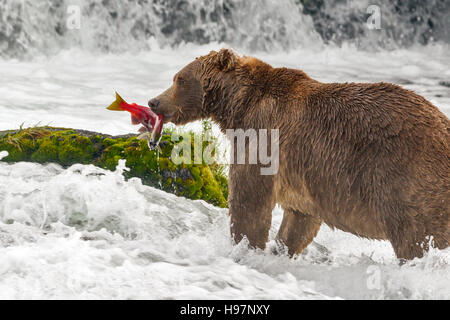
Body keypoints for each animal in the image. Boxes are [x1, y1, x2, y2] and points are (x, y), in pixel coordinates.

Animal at [149, 48, 450, 262]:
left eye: (178, 78)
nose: (154, 101)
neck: (238, 106)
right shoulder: (306, 180)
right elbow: (299, 221)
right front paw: (280, 250)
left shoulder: (264, 138)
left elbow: (249, 202)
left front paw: (244, 246)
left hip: (405, 182)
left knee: (413, 239)